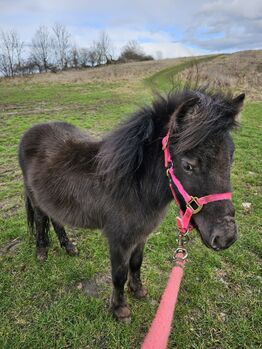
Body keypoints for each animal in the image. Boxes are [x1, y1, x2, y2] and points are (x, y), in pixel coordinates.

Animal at [18, 87, 246, 320]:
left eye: (231, 157)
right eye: (188, 165)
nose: (226, 237)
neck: (133, 187)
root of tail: (31, 131)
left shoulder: (140, 236)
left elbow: (136, 264)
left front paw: (138, 290)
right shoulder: (119, 241)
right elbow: (118, 275)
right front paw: (119, 309)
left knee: (55, 219)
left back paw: (69, 246)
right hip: (36, 200)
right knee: (40, 220)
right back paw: (41, 252)